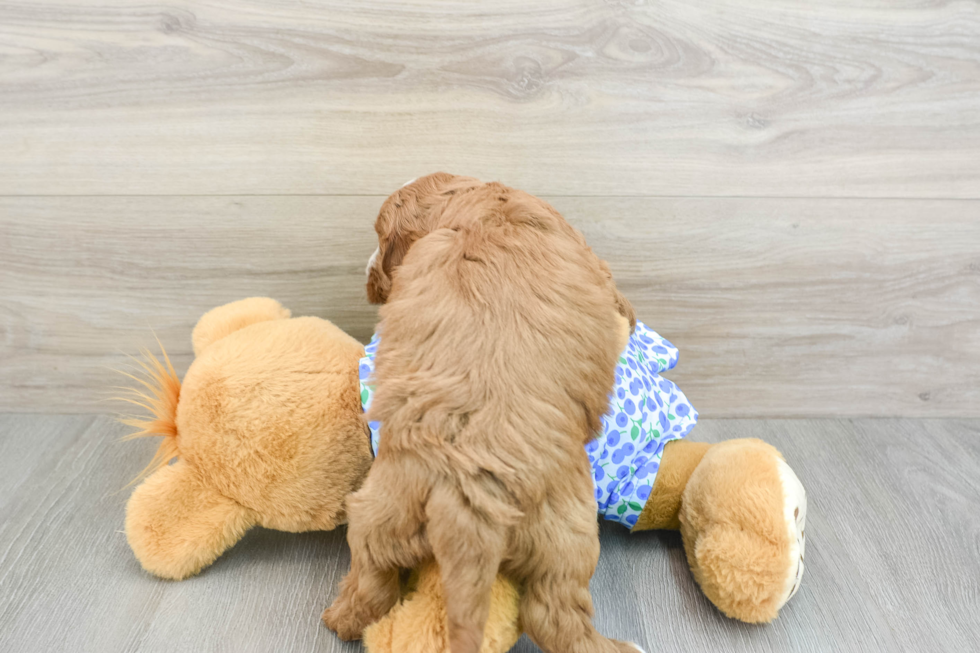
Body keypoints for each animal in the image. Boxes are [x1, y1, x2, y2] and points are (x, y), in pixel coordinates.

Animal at [326, 172, 640, 652]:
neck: (483, 207)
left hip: (390, 514)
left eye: (379, 239)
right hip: (568, 535)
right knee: (555, 616)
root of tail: (467, 501)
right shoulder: (590, 260)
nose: (368, 271)